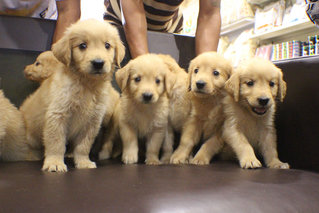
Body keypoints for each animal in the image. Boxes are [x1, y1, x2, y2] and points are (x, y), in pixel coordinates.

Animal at [19, 18, 125, 171]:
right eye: (82, 45)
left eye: (107, 45)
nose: (98, 63)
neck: (87, 85)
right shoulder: (57, 115)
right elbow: (56, 143)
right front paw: (55, 163)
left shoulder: (92, 122)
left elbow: (83, 146)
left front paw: (83, 162)